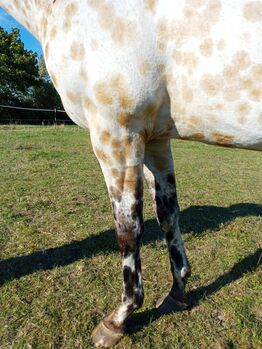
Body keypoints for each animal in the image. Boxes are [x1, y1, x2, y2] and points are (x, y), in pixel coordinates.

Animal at [1, 0, 260, 346]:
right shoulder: (155, 141)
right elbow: (167, 216)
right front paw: (178, 292)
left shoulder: (117, 135)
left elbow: (128, 229)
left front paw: (120, 317)